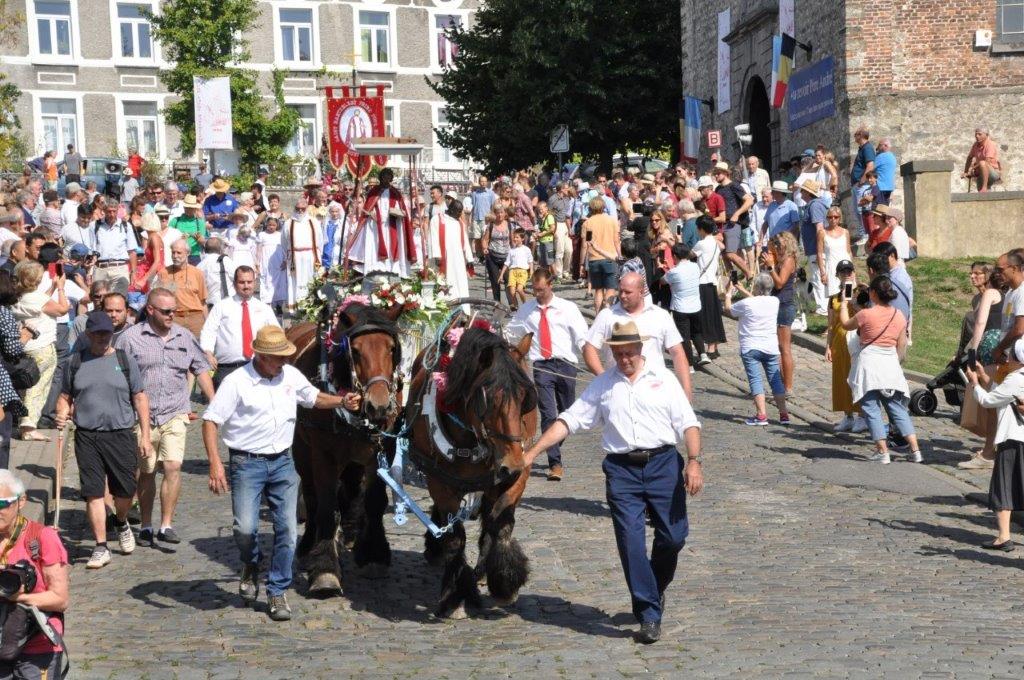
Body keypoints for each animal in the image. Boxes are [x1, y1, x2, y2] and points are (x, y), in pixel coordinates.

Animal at [288, 303, 403, 593]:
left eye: (391, 348)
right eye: (357, 350)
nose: (379, 405)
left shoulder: (381, 451)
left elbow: (374, 500)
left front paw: (374, 555)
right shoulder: (323, 454)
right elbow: (327, 505)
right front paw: (325, 570)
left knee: (351, 488)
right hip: (301, 451)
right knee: (312, 496)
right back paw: (307, 548)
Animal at [403, 327, 540, 618]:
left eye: (526, 398)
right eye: (488, 398)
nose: (511, 464)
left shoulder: (518, 474)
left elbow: (501, 524)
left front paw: (504, 583)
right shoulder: (440, 482)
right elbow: (455, 537)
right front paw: (455, 596)